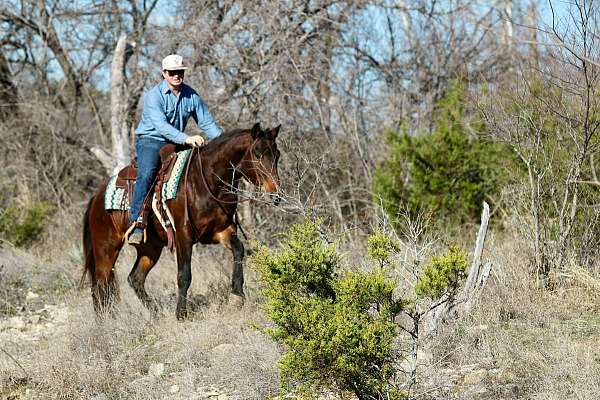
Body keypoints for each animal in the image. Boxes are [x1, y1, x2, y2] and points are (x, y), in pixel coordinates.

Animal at [80, 123, 284, 320]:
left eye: (277, 155)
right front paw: (181, 313)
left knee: (135, 279)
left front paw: (237, 296)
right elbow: (184, 275)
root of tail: (96, 197)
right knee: (101, 284)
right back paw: (105, 321)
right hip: (106, 247)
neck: (206, 181)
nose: (276, 194)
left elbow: (239, 251)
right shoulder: (183, 235)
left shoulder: (222, 230)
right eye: (257, 153)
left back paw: (156, 314)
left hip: (150, 248)